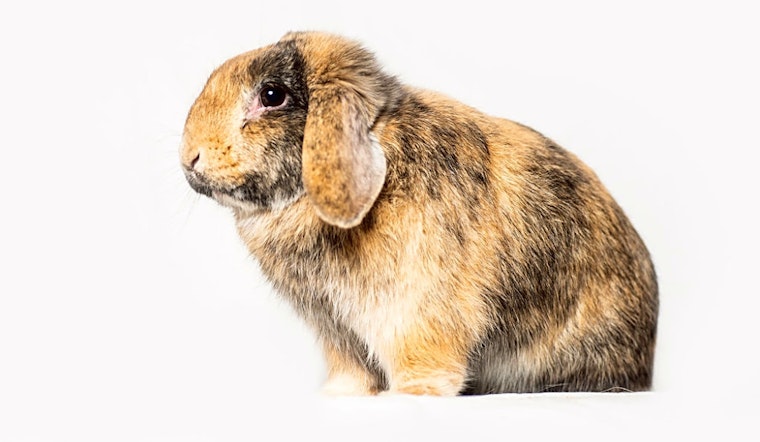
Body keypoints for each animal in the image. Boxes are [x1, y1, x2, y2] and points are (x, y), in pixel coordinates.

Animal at [180, 31, 658, 395]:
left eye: (271, 95)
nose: (190, 158)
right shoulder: (338, 333)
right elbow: (352, 370)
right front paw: (339, 395)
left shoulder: (415, 314)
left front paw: (412, 394)